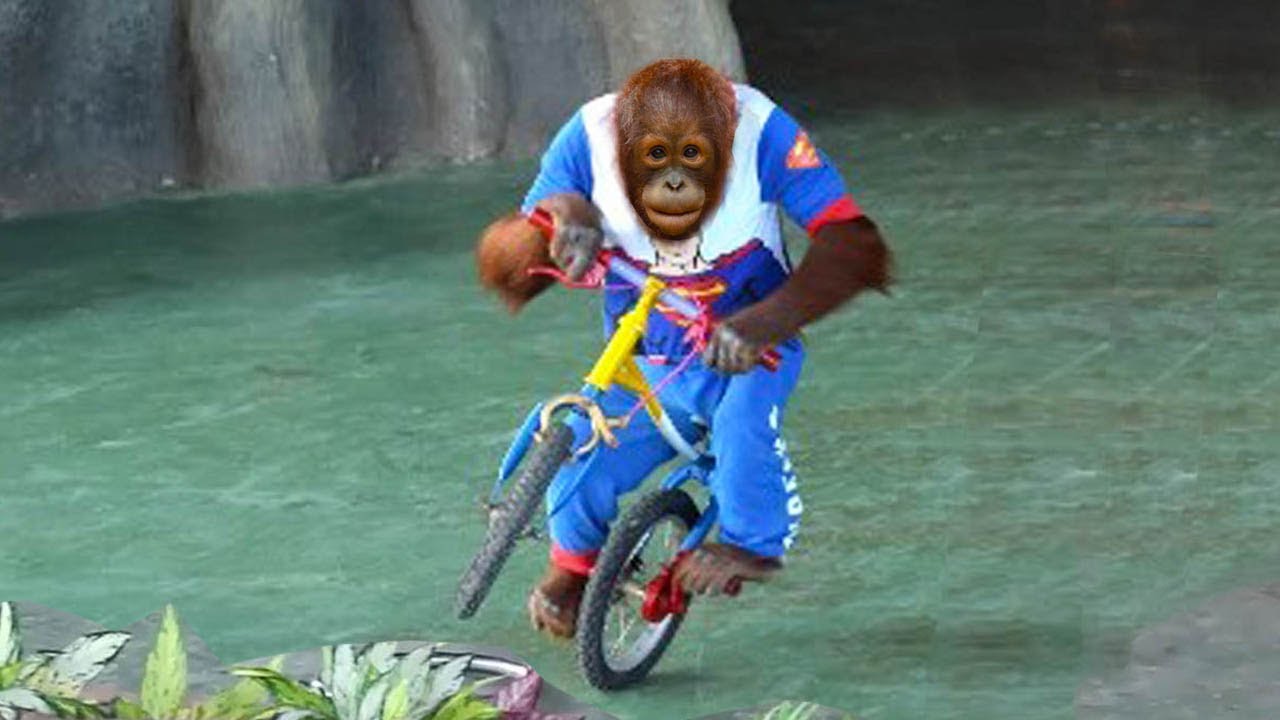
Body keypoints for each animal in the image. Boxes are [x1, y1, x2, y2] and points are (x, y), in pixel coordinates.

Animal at [475, 58, 892, 639]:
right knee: (592, 454)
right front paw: (570, 221)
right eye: (656, 154)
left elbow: (847, 233)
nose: (674, 182)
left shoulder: (778, 137)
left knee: (740, 435)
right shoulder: (572, 141)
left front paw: (742, 333)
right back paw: (568, 583)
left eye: (691, 153)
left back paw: (732, 558)